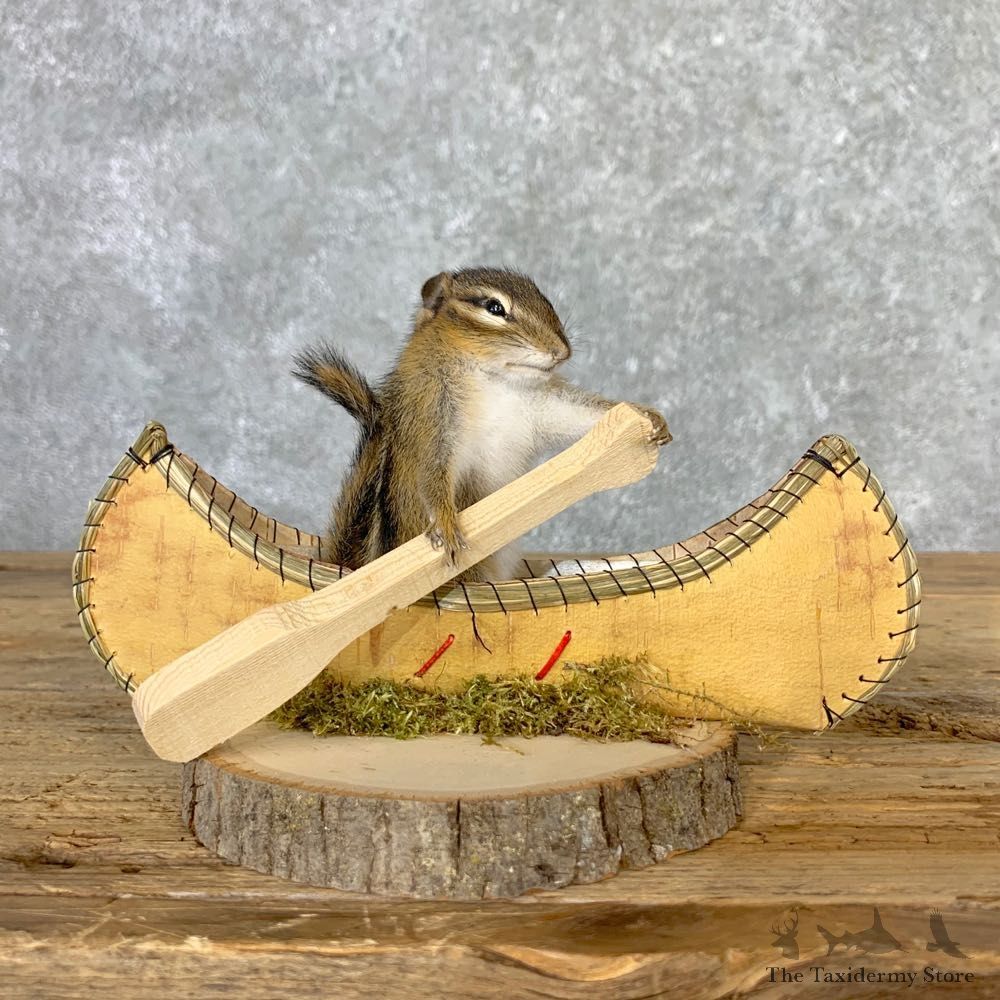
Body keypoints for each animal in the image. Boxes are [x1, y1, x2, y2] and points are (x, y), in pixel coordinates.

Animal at [292, 266, 671, 583]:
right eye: (494, 308)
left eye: (544, 297)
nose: (562, 352)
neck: (492, 379)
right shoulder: (431, 413)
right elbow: (432, 474)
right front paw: (446, 523)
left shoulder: (543, 406)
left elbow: (583, 416)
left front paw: (647, 416)